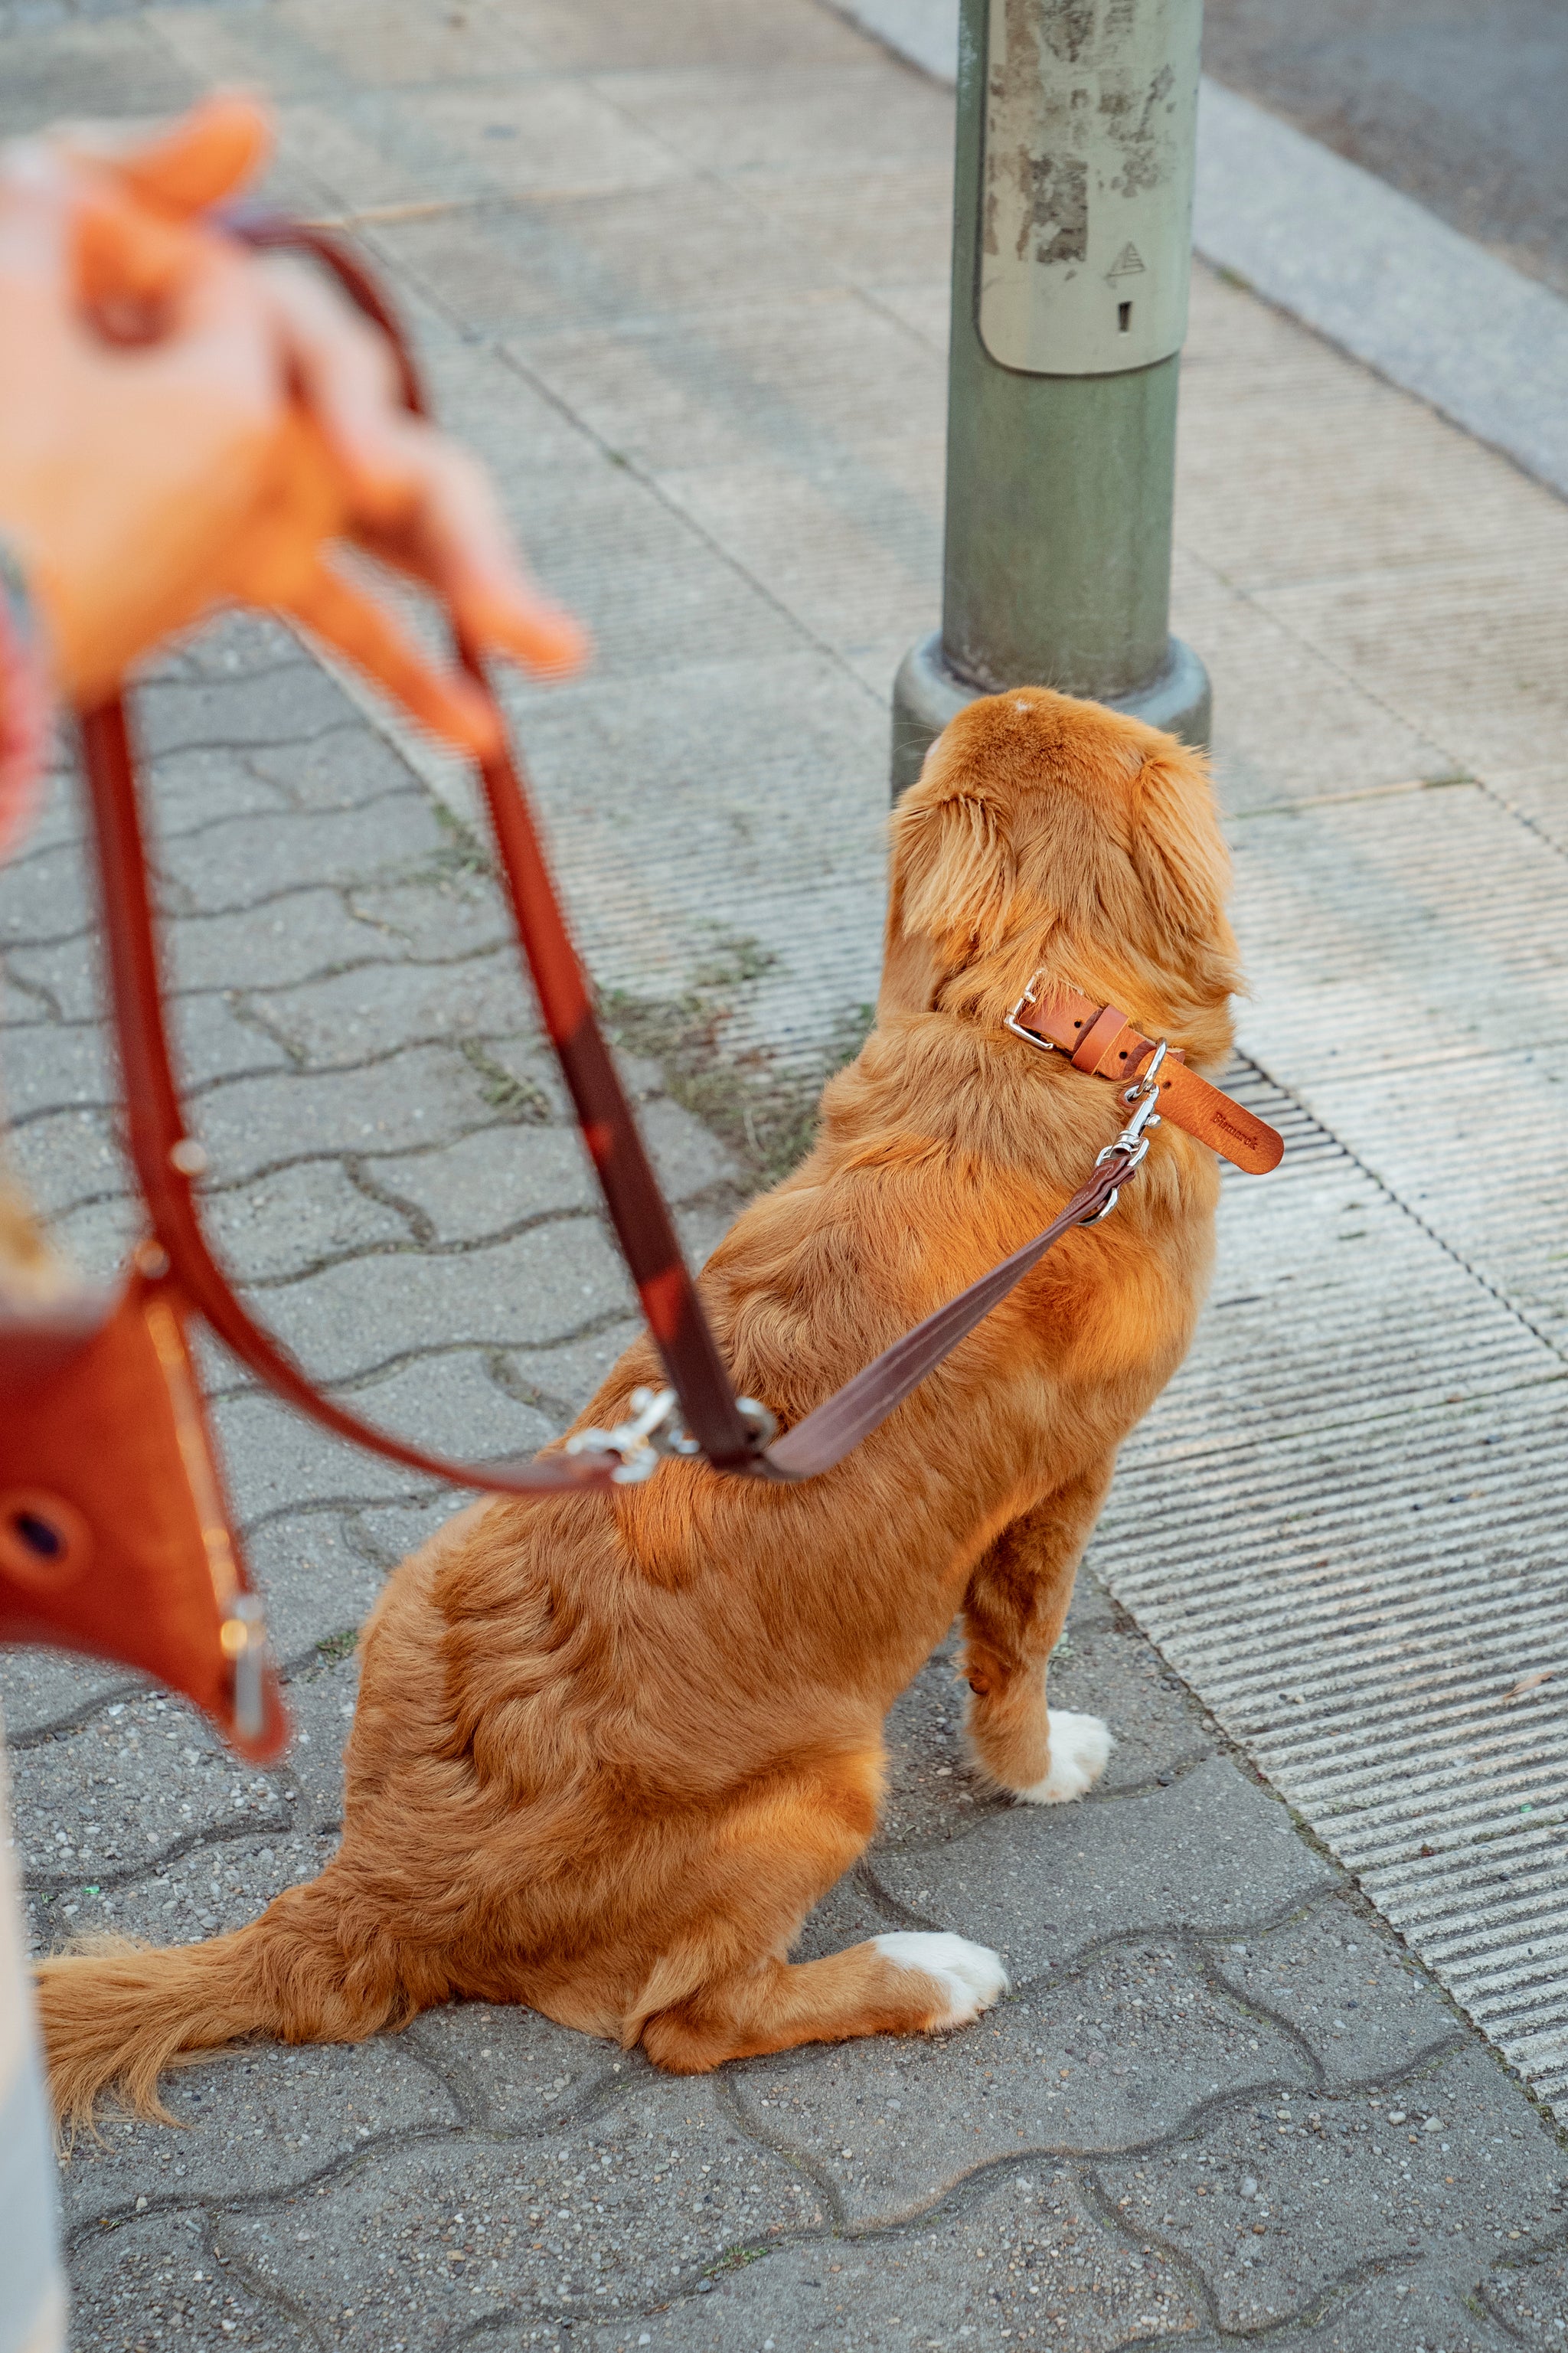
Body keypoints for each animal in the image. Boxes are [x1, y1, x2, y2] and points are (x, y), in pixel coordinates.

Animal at [36, 687, 1233, 2136]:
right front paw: (1039, 1762)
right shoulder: (1065, 1484)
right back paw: (927, 1971)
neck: (1032, 1025)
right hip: (825, 1787)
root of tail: (381, 1887)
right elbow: (1019, 1655)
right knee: (690, 2022)